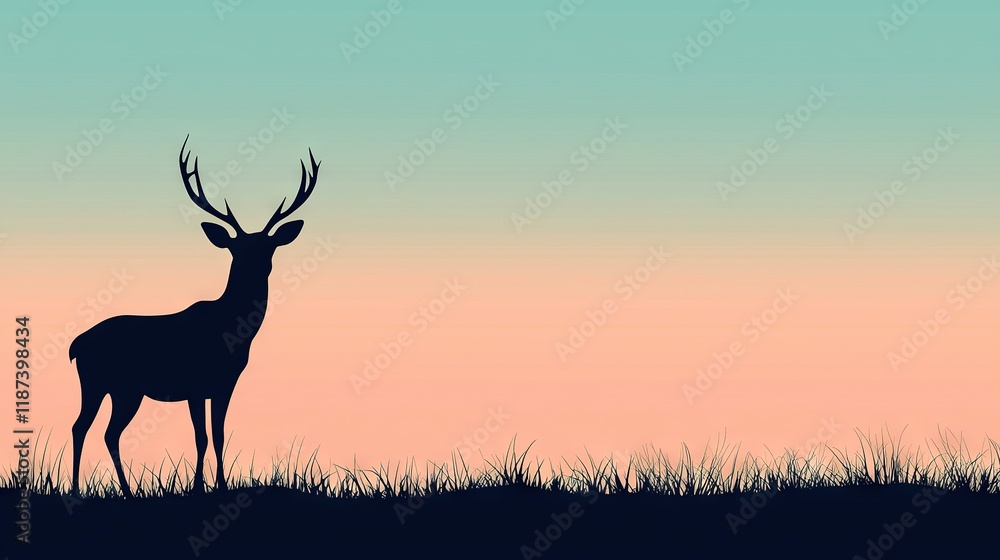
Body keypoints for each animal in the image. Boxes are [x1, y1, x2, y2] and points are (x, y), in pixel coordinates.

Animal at [68, 135, 320, 497]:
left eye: (268, 247)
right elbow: (201, 436)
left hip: (123, 389)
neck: (230, 332)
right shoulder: (196, 382)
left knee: (104, 431)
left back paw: (126, 492)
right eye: (236, 249)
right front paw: (201, 486)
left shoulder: (225, 383)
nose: (256, 268)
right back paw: (78, 491)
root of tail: (76, 345)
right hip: (99, 381)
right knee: (82, 427)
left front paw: (220, 486)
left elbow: (218, 435)